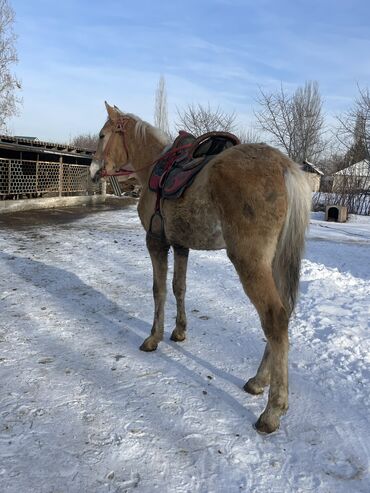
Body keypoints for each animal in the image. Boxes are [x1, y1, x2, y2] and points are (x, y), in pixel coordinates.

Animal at [90, 103, 312, 430]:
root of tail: (284, 166)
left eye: (103, 135)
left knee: (274, 318)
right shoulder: (181, 245)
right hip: (275, 262)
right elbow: (178, 287)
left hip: (250, 263)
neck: (154, 167)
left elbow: (158, 290)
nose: (93, 170)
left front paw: (153, 338)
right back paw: (259, 381)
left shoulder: (156, 242)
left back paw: (272, 409)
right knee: (283, 313)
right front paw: (179, 331)